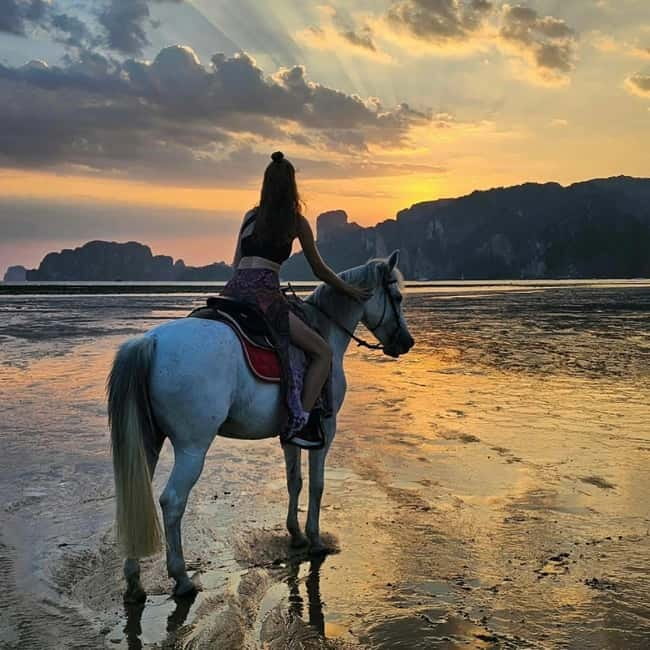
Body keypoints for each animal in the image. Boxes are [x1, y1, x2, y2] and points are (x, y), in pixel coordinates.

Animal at [107, 251, 414, 602]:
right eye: (398, 297)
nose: (406, 342)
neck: (324, 330)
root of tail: (150, 341)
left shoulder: (293, 434)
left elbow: (294, 481)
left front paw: (295, 534)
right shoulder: (327, 428)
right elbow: (317, 485)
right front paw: (315, 539)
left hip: (148, 440)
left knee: (135, 495)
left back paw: (134, 581)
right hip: (192, 447)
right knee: (172, 502)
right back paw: (181, 578)